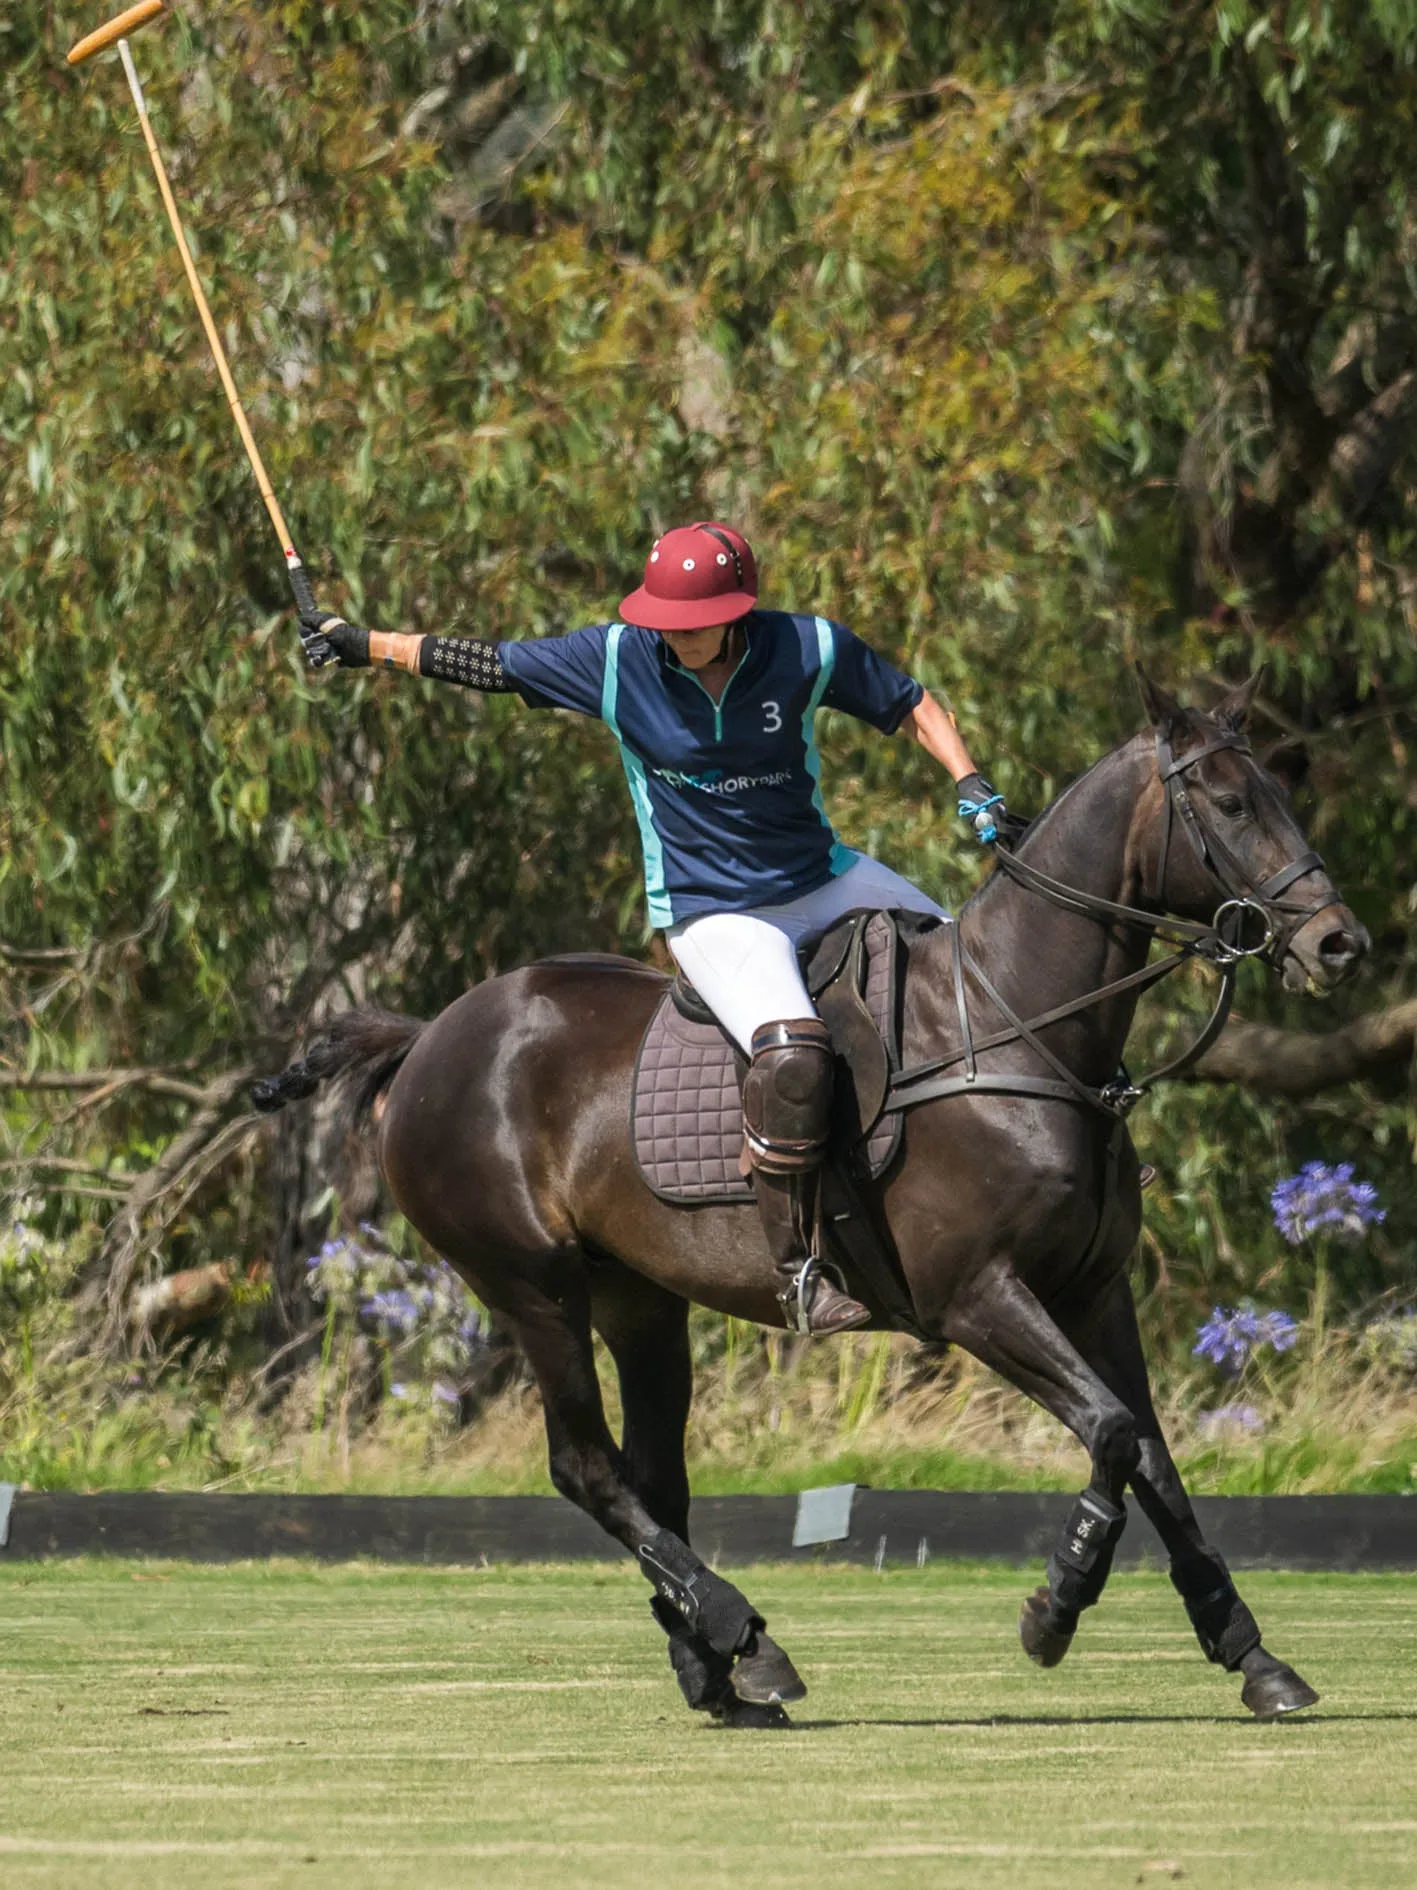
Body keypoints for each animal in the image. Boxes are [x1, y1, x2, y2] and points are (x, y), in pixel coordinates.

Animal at [260, 672, 1367, 1723]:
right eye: (1229, 802)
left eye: (1282, 793)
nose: (1337, 945)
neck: (1021, 1028)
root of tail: (427, 1036)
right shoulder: (975, 1297)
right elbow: (1109, 1433)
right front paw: (1053, 1607)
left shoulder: (1095, 1291)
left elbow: (1155, 1455)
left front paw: (1255, 1658)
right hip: (531, 1285)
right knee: (586, 1467)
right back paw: (743, 1636)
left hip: (637, 1295)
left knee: (653, 1471)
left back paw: (717, 1670)